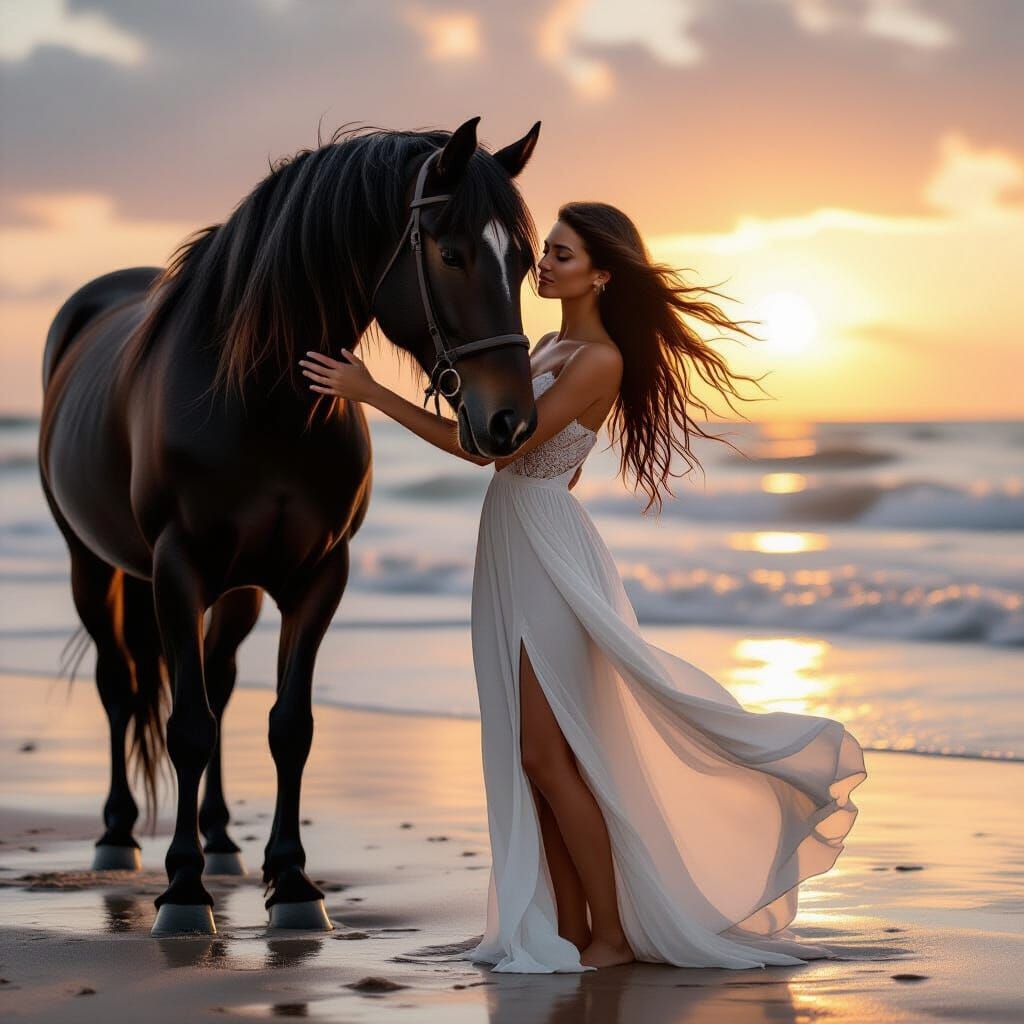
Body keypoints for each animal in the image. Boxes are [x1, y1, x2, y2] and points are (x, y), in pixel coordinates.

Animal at [36, 115, 542, 936]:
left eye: (526, 262)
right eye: (451, 252)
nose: (511, 421)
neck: (260, 399)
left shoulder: (317, 576)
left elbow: (287, 725)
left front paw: (294, 884)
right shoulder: (177, 571)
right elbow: (188, 726)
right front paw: (183, 895)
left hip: (237, 591)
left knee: (217, 680)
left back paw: (219, 843)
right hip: (92, 563)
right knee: (122, 685)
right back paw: (118, 838)